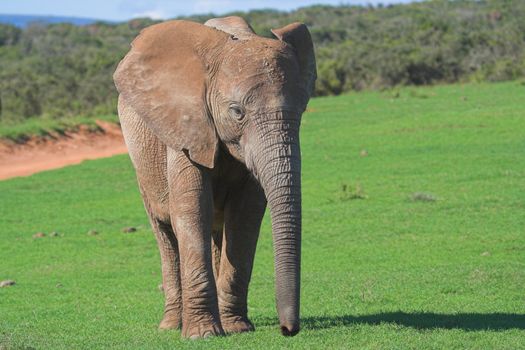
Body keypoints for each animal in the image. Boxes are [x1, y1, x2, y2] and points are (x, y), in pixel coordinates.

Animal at [112, 16, 316, 340]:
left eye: (303, 109)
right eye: (237, 112)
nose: (288, 330)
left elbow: (244, 217)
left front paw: (238, 328)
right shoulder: (184, 125)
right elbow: (192, 210)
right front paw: (203, 334)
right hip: (142, 166)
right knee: (165, 232)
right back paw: (171, 325)